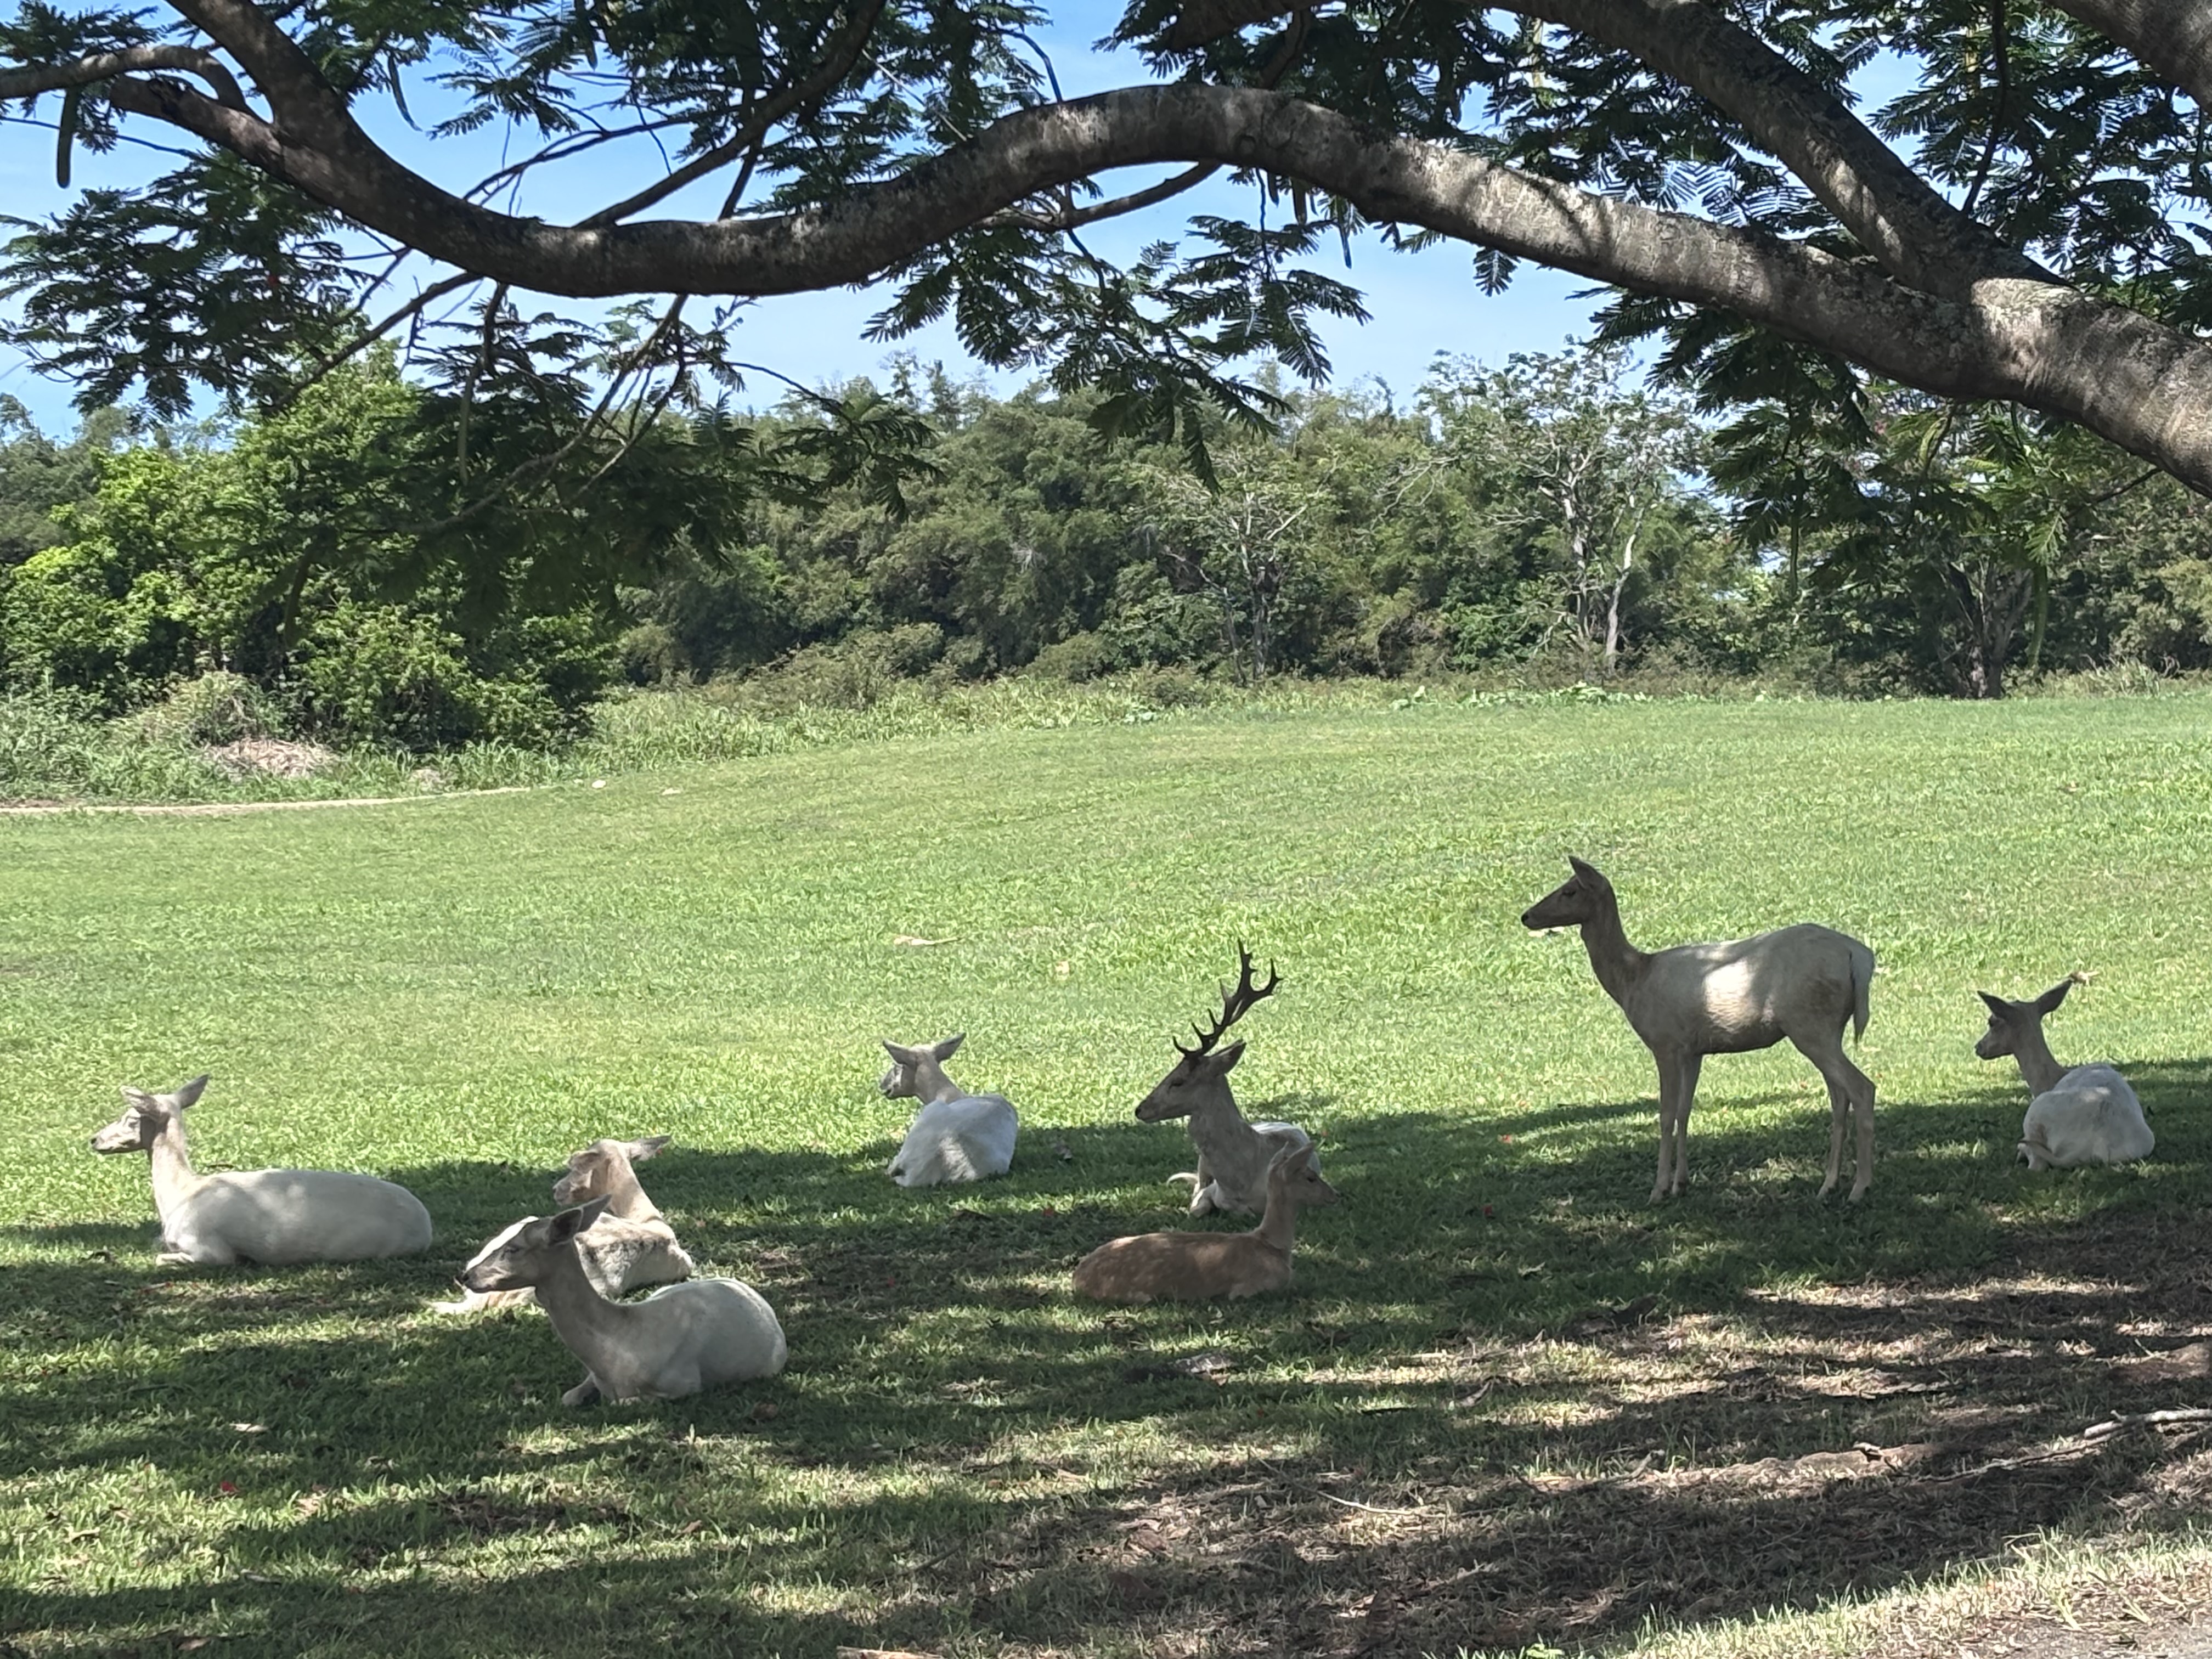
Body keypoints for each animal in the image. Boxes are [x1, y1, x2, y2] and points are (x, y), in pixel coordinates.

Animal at [90, 1075, 433, 1264]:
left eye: (132, 1118)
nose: (95, 1140)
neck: (180, 1195)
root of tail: (425, 1227)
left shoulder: (208, 1249)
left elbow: (163, 1258)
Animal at [1520, 857, 1878, 1203]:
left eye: (1569, 891)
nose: (1526, 916)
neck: (1634, 980)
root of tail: (1859, 957)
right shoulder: (1693, 1050)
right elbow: (1684, 1111)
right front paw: (1681, 1183)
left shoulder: (1664, 1041)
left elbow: (1666, 1114)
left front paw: (1658, 1190)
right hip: (1829, 1027)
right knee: (1839, 1096)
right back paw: (1828, 1185)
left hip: (1810, 1023)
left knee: (1862, 1088)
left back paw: (1860, 1188)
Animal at [1975, 976, 2153, 1169]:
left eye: (1992, 1021)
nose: (1978, 1047)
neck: (2050, 1080)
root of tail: (2097, 1148)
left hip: (2034, 1114)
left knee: (2037, 1163)